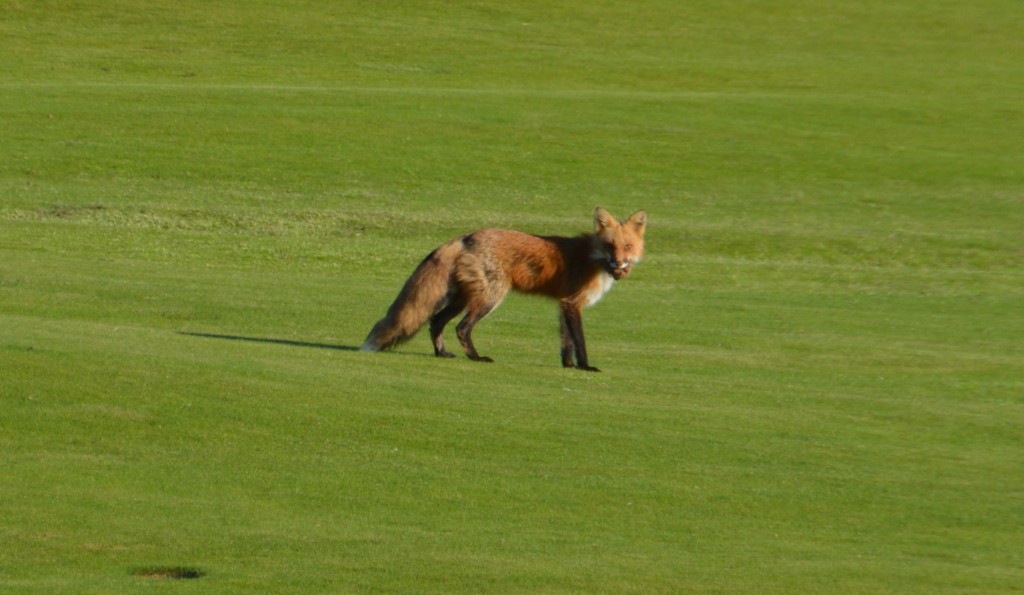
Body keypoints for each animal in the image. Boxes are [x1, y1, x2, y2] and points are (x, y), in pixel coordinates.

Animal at [361, 207, 647, 371]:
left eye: (627, 247)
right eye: (610, 245)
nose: (618, 263)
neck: (593, 259)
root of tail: (466, 237)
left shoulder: (563, 304)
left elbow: (566, 343)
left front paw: (567, 366)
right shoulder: (573, 303)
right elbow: (580, 341)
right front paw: (586, 367)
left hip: (462, 297)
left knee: (436, 321)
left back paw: (442, 353)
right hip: (490, 298)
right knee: (461, 327)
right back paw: (476, 358)